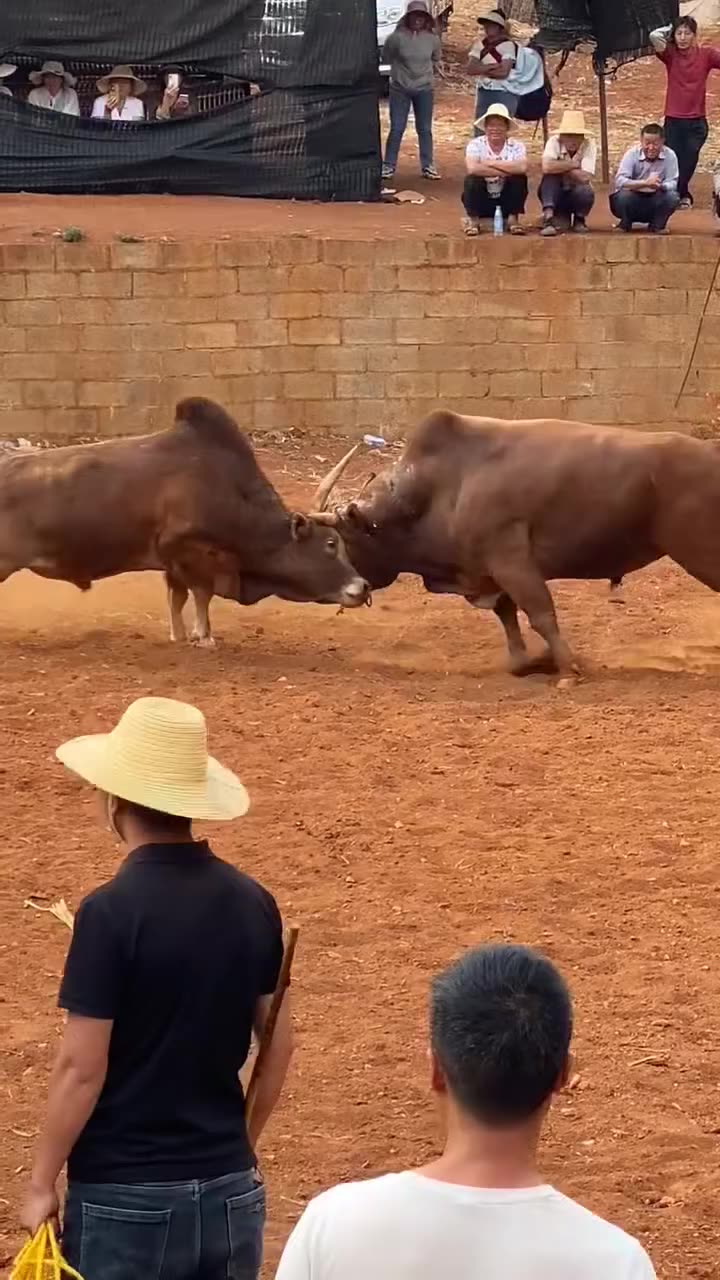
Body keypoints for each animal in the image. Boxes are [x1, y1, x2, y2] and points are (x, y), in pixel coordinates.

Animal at [0, 397, 369, 644]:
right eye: (331, 544)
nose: (363, 587)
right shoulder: (191, 552)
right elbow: (201, 595)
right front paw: (203, 636)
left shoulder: (172, 564)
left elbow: (177, 599)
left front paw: (179, 636)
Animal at [310, 409, 720, 676]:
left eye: (341, 539)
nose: (355, 589)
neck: (442, 486)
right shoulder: (489, 572)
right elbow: (508, 614)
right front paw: (534, 662)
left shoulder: (511, 559)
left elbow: (540, 613)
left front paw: (568, 666)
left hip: (701, 553)